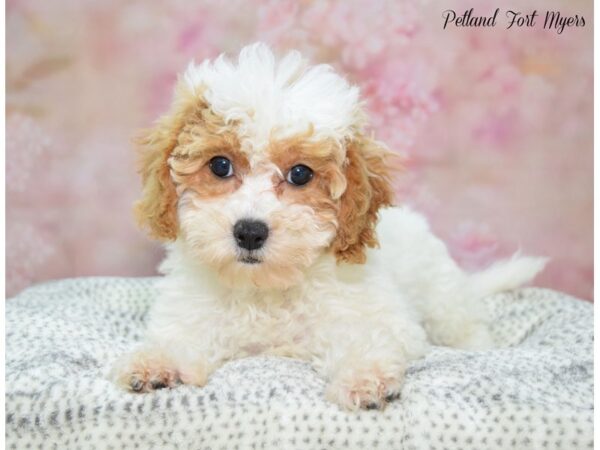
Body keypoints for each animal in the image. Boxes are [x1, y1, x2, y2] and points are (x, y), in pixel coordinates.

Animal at [110, 43, 548, 412]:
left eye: (300, 174)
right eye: (220, 165)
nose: (249, 232)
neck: (267, 291)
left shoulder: (380, 317)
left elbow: (365, 339)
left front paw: (365, 378)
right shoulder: (192, 313)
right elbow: (181, 338)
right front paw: (156, 363)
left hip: (443, 302)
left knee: (466, 328)